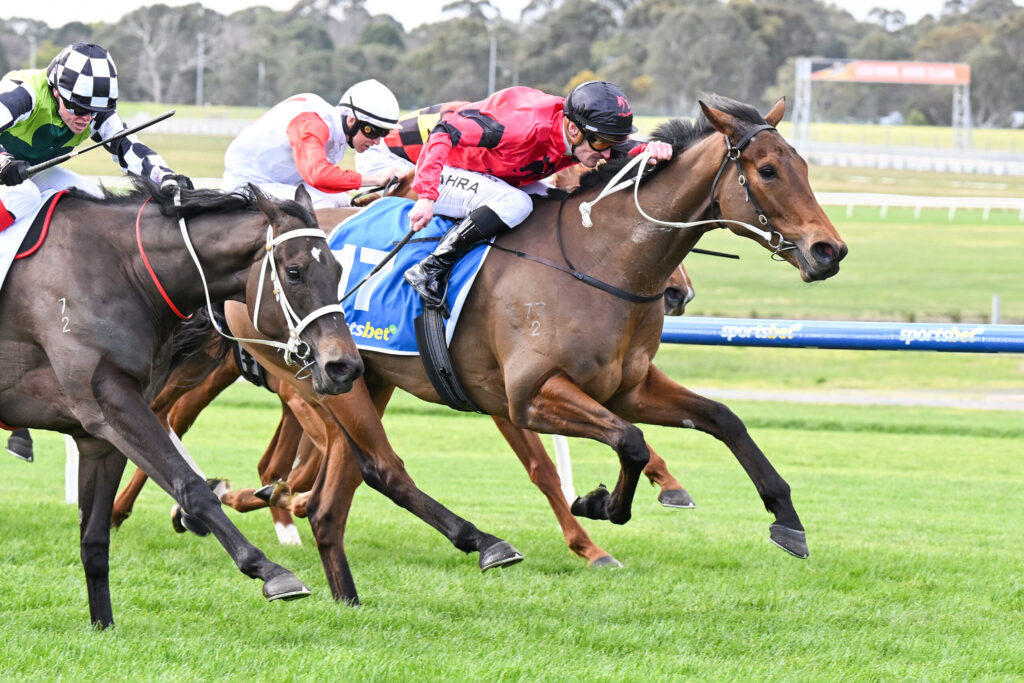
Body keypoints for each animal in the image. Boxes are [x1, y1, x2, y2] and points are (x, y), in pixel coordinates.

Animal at [0, 179, 363, 627]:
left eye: (338, 270)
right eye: (294, 272)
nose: (344, 366)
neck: (125, 273)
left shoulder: (99, 435)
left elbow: (95, 538)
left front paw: (103, 625)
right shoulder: (111, 403)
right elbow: (191, 487)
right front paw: (271, 571)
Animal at [218, 95, 846, 604]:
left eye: (803, 166)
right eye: (767, 171)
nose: (829, 251)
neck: (600, 259)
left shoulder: (630, 386)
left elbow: (722, 419)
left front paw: (787, 521)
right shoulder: (528, 396)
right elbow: (627, 443)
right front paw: (599, 507)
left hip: (362, 377)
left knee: (336, 499)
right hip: (320, 381)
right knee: (380, 467)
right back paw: (477, 541)